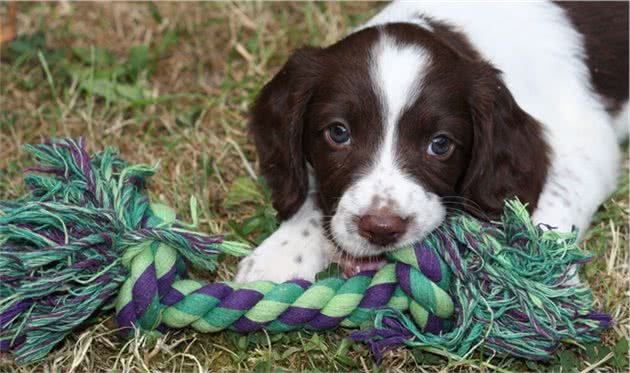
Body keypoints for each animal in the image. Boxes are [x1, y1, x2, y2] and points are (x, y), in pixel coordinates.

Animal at [235, 0, 628, 282]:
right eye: (338, 133)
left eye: (440, 145)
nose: (381, 229)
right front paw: (281, 255)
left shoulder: (587, 142)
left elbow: (553, 202)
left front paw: (541, 272)